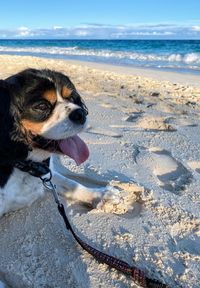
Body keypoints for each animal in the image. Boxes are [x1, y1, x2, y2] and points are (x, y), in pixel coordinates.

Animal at [0, 68, 111, 217]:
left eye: (71, 98)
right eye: (42, 106)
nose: (80, 113)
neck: (26, 164)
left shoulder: (48, 174)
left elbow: (71, 183)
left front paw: (101, 195)